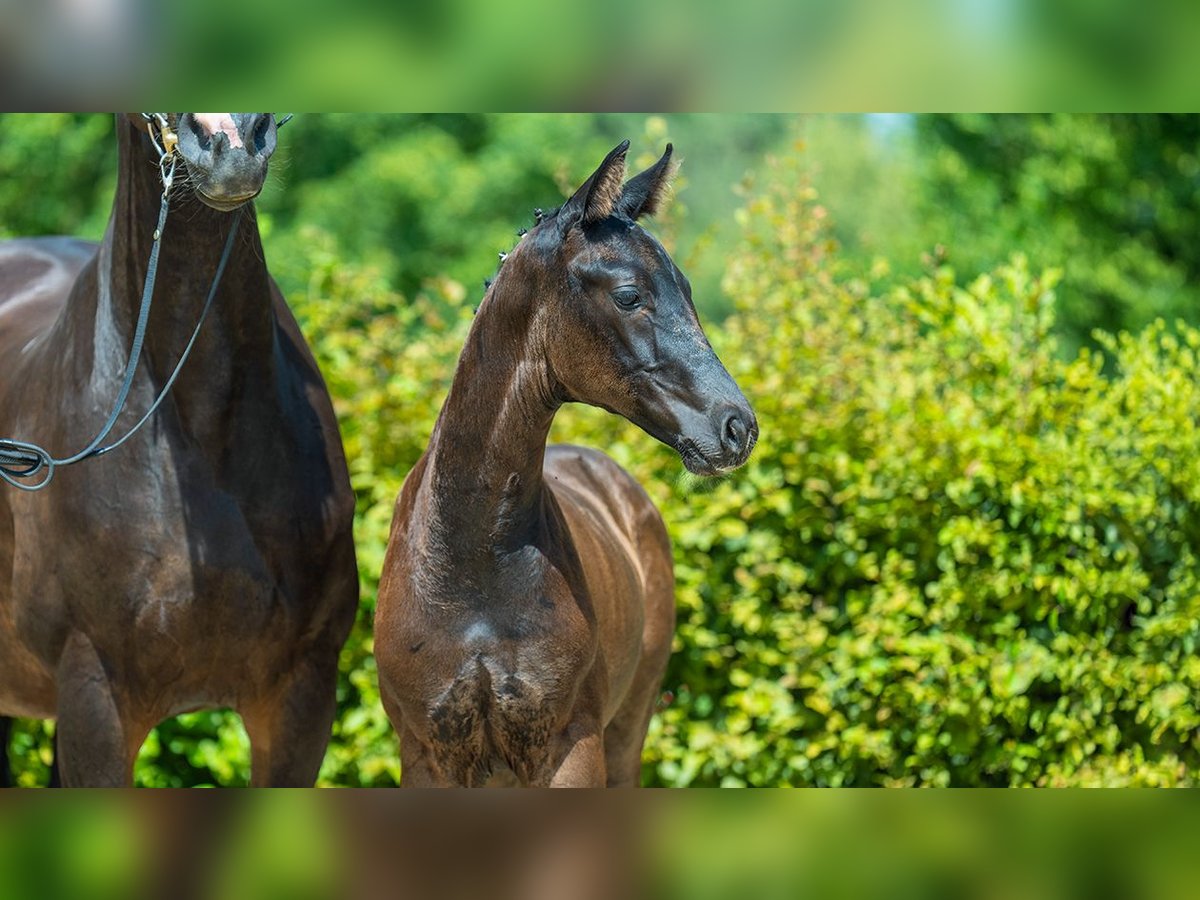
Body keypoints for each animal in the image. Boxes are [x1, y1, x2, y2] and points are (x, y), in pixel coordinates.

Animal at [374, 142, 753, 787]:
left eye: (687, 290)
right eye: (629, 294)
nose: (738, 427)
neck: (471, 563)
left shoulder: (573, 747)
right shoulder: (428, 755)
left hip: (629, 729)